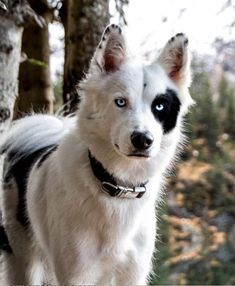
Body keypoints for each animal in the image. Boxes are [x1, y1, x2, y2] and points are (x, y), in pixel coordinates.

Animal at [0, 25, 193, 286]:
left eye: (160, 106)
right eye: (120, 102)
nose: (142, 140)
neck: (117, 187)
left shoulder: (133, 273)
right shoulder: (76, 274)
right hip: (23, 261)